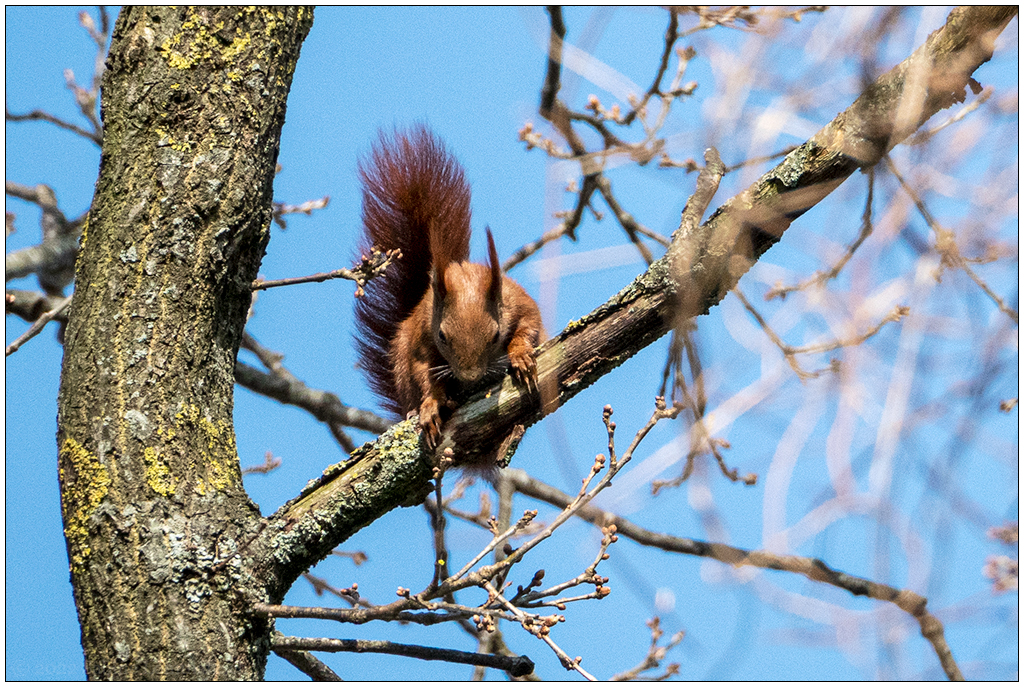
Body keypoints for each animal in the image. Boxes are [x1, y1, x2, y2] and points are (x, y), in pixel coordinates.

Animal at [354, 126, 545, 456]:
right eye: (442, 336)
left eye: (496, 336)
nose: (470, 377)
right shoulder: (421, 338)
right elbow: (423, 370)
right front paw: (431, 405)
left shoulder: (519, 303)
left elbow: (528, 327)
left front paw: (520, 355)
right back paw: (417, 410)